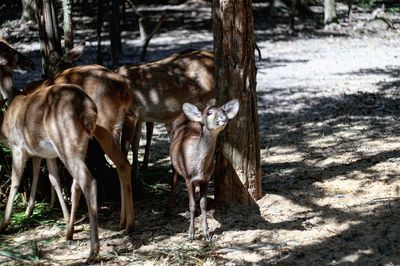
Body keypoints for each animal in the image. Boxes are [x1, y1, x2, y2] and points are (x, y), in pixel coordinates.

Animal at [0, 83, 100, 260]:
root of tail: (88, 108)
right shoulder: (43, 153)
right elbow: (51, 178)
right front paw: (29, 211)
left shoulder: (17, 146)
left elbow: (15, 181)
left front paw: (4, 224)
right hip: (81, 145)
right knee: (76, 185)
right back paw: (69, 232)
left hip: (64, 142)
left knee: (88, 181)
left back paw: (92, 251)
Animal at [170, 98, 239, 240]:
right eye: (209, 113)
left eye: (223, 111)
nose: (224, 118)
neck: (199, 168)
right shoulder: (188, 178)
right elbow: (191, 205)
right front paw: (191, 234)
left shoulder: (206, 178)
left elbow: (203, 204)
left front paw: (207, 234)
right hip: (174, 162)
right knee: (173, 180)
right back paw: (167, 211)